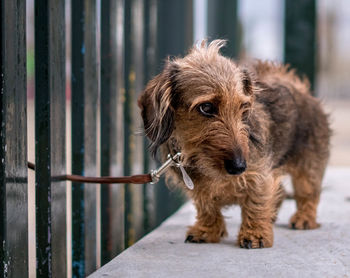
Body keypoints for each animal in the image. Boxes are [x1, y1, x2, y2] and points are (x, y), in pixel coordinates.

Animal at [137, 40, 330, 249]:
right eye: (206, 107)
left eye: (243, 107)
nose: (239, 167)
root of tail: (300, 88)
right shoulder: (198, 187)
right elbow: (206, 205)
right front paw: (207, 230)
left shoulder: (259, 174)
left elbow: (257, 201)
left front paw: (255, 234)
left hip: (308, 166)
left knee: (308, 194)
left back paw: (304, 218)